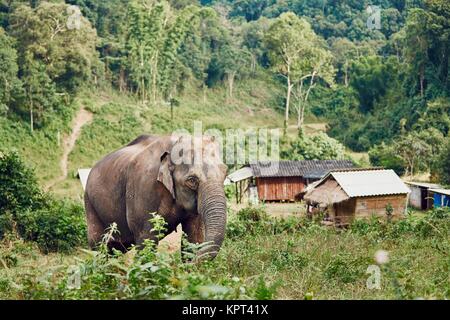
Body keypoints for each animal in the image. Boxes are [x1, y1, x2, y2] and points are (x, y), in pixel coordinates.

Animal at [85, 134, 229, 262]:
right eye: (192, 180)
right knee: (99, 247)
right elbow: (146, 239)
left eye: (225, 173)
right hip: (90, 204)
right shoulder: (144, 187)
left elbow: (194, 236)